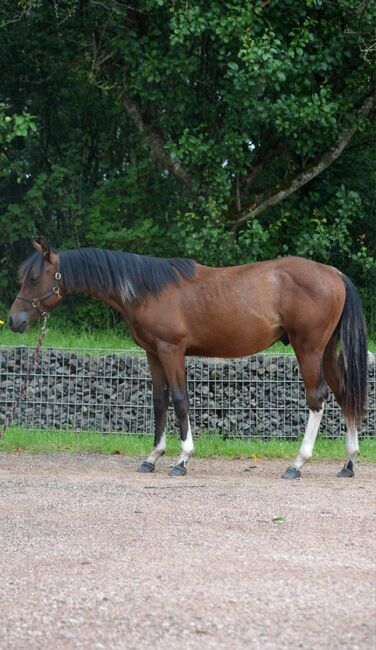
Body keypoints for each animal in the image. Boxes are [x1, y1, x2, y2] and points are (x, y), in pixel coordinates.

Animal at [8, 238, 368, 476]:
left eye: (34, 277)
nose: (13, 321)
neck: (146, 289)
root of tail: (334, 274)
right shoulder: (153, 353)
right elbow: (159, 401)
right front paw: (152, 457)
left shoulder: (172, 350)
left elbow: (180, 399)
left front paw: (182, 459)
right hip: (326, 351)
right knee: (343, 395)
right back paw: (348, 462)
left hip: (308, 349)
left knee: (317, 398)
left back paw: (297, 463)